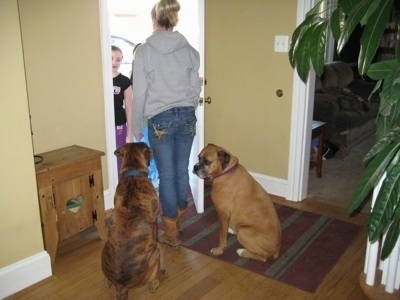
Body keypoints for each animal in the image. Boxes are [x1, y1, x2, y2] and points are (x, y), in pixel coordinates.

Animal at [103, 143, 167, 300]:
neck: (133, 172)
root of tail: (121, 286)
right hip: (156, 254)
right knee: (152, 285)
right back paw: (161, 275)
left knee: (106, 281)